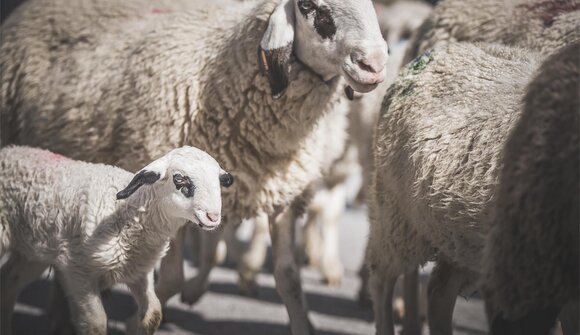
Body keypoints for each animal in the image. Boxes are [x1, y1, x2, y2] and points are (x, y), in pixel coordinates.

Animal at [0, 146, 231, 335]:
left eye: (219, 182)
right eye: (180, 180)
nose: (213, 217)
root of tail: (10, 150)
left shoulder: (139, 272)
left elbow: (153, 315)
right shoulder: (76, 271)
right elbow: (95, 324)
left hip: (35, 250)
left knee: (9, 282)